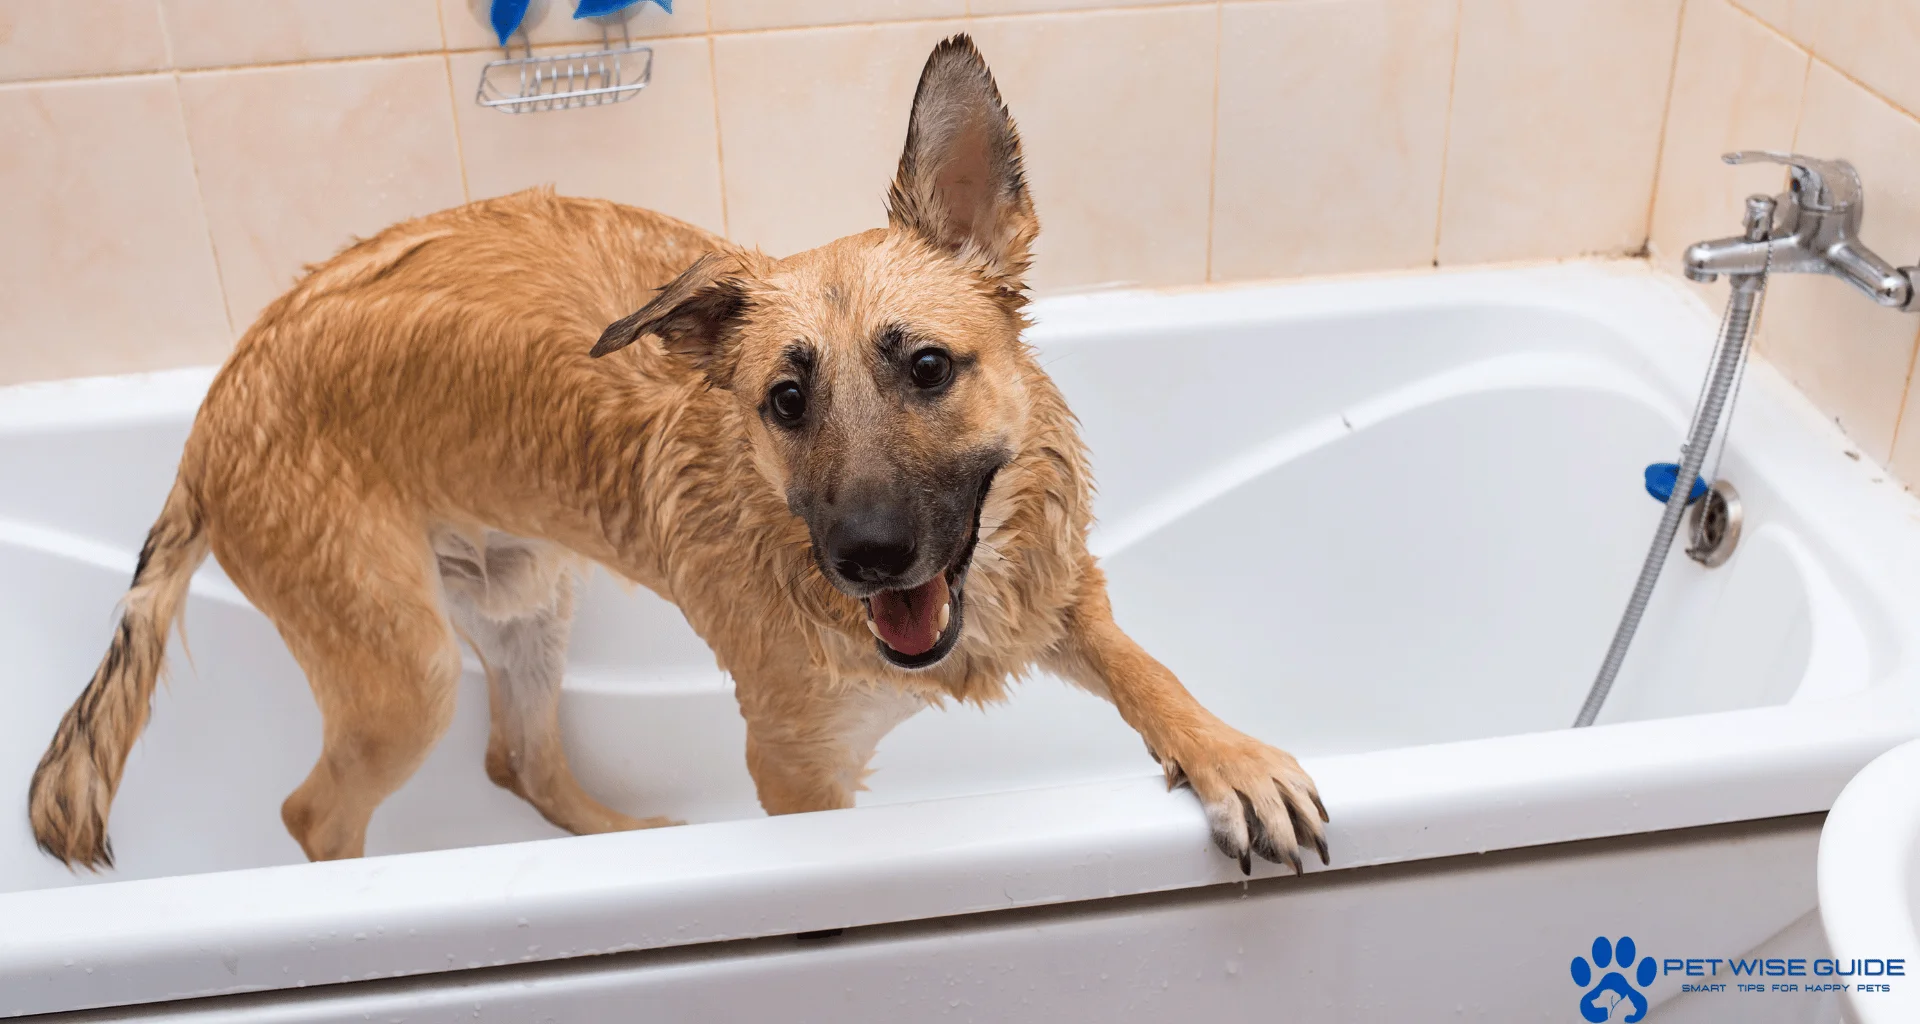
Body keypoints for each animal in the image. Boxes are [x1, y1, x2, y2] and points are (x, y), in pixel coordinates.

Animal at [30, 36, 1328, 876]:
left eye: (926, 368)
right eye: (785, 400)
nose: (868, 558)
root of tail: (215, 407)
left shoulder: (1060, 588)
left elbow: (1148, 668)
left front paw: (1229, 755)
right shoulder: (796, 775)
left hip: (526, 600)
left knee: (517, 761)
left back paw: (621, 845)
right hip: (403, 672)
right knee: (316, 815)